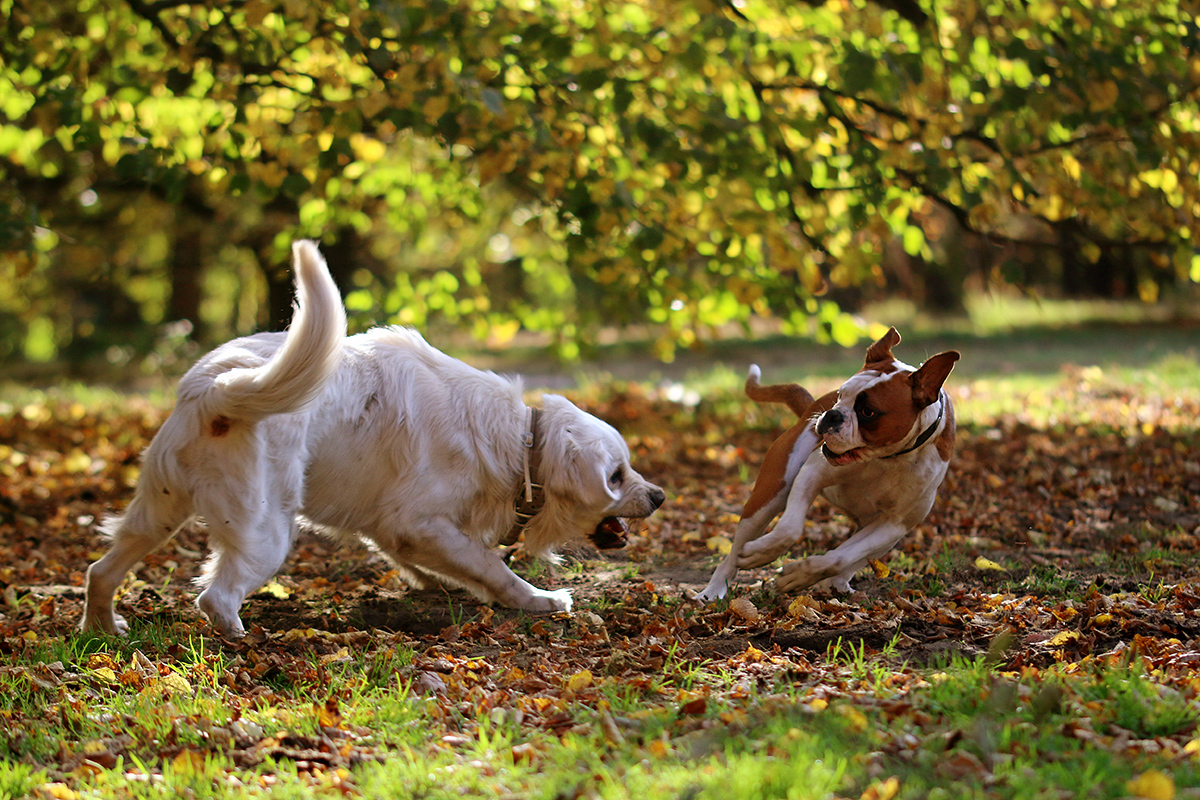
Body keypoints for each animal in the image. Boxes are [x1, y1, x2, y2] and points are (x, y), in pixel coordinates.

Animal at [82, 241, 667, 633]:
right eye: (616, 476)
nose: (660, 496)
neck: (519, 442)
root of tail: (220, 388)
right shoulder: (416, 520)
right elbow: (491, 567)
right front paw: (541, 600)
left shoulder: (393, 528)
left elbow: (445, 564)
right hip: (266, 533)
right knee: (216, 598)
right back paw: (240, 639)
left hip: (158, 513)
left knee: (100, 570)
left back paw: (102, 629)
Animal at [696, 331, 955, 599]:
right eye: (841, 394)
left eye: (868, 412)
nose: (832, 414)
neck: (889, 459)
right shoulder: (812, 473)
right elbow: (789, 528)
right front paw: (760, 554)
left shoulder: (893, 524)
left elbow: (839, 558)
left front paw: (799, 575)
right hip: (768, 497)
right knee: (735, 553)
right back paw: (714, 590)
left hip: (878, 533)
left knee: (849, 561)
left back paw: (836, 585)